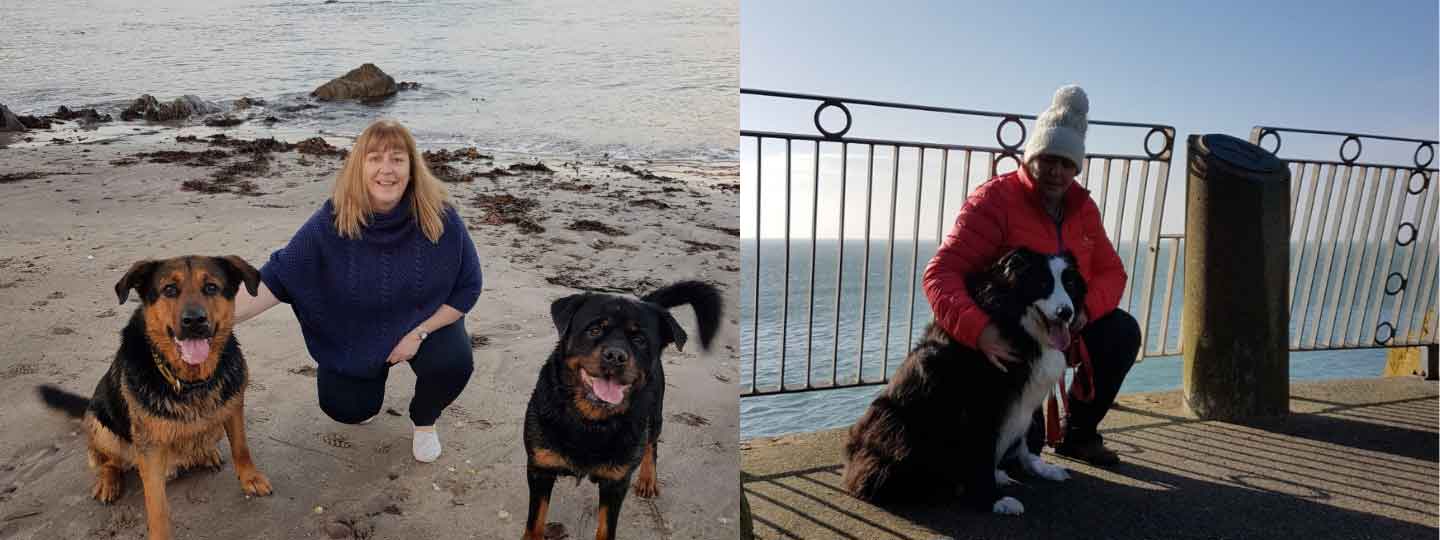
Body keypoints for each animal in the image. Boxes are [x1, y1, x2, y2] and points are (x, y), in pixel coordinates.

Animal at [37, 256, 270, 538]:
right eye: (169, 289)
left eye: (211, 287)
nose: (194, 321)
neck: (190, 382)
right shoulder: (149, 449)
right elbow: (157, 505)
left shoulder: (233, 405)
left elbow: (241, 447)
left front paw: (250, 478)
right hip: (100, 425)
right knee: (107, 461)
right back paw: (108, 482)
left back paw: (205, 453)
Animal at [521, 280, 720, 540]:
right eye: (595, 329)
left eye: (640, 340)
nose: (615, 355)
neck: (591, 420)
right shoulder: (540, 470)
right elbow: (535, 522)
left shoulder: (615, 483)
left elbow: (606, 529)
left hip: (654, 416)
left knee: (651, 445)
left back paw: (647, 478)